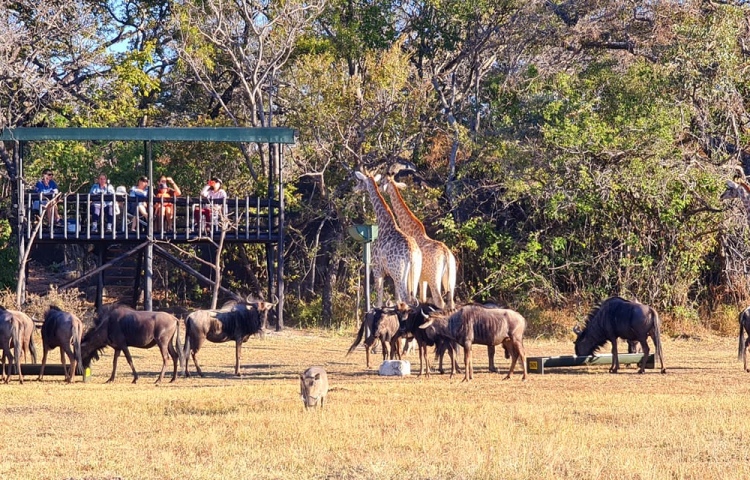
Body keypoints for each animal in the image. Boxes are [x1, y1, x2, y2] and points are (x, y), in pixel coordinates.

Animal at [354, 171, 424, 306]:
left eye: (360, 181)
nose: (354, 188)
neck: (385, 224)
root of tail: (411, 255)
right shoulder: (390, 274)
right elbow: (397, 300)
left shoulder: (377, 268)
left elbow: (379, 298)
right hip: (415, 273)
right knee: (412, 299)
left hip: (400, 274)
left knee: (407, 298)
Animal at [382, 174, 458, 310]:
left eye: (382, 181)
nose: (380, 188)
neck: (411, 230)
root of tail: (446, 255)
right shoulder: (422, 279)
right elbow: (422, 299)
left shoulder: (414, 277)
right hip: (451, 279)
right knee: (451, 303)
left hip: (435, 280)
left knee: (440, 302)